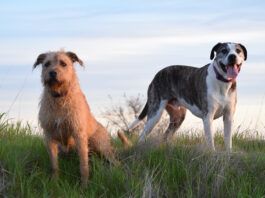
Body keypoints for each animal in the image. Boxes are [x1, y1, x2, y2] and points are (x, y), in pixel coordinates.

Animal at [33, 50, 130, 186]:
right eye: (46, 64)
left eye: (63, 63)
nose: (52, 73)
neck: (59, 98)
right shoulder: (49, 136)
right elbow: (54, 164)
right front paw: (54, 182)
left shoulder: (79, 135)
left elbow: (83, 165)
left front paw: (84, 185)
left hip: (101, 146)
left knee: (116, 162)